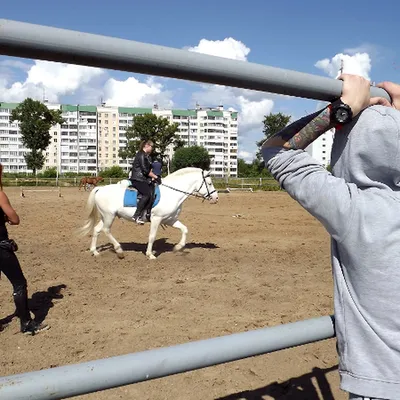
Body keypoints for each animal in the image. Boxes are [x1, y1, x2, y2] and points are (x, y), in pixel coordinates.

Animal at [77, 167, 219, 260]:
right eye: (210, 183)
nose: (216, 198)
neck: (172, 193)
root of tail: (100, 189)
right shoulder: (156, 219)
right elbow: (152, 236)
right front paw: (150, 254)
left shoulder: (170, 219)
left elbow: (184, 229)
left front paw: (178, 247)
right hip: (109, 216)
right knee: (106, 230)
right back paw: (119, 250)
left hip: (105, 216)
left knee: (97, 230)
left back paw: (95, 252)